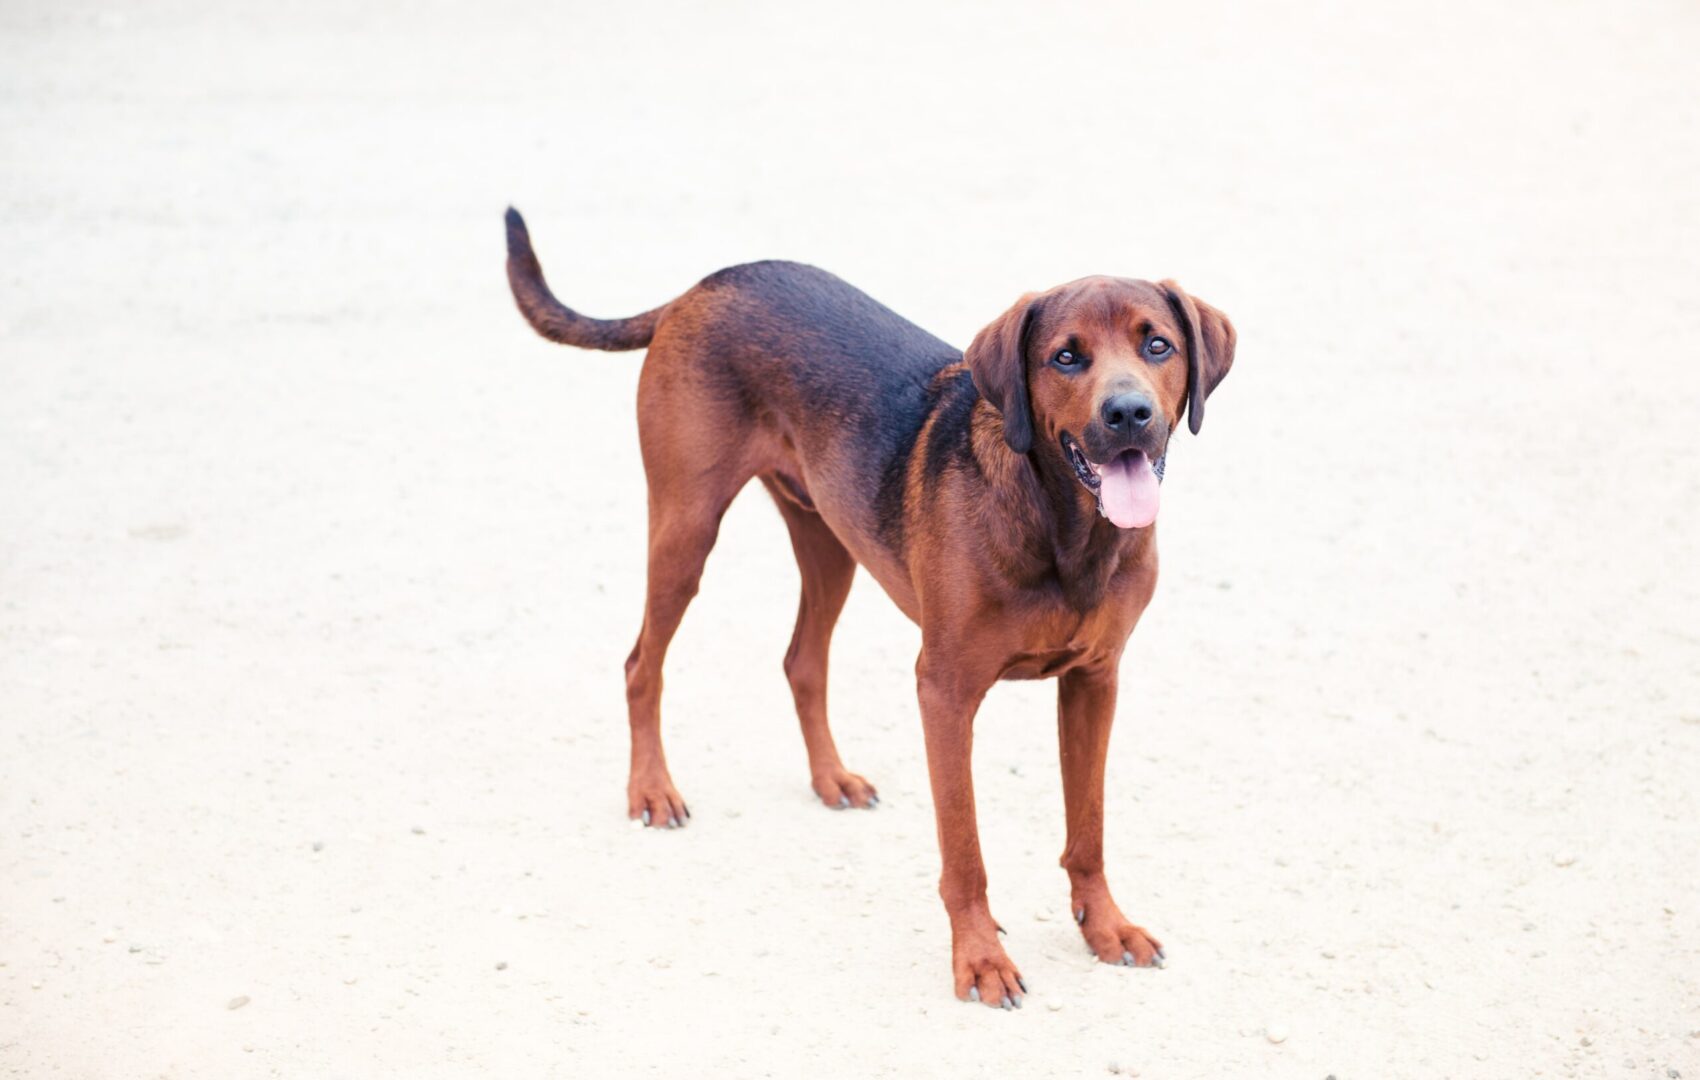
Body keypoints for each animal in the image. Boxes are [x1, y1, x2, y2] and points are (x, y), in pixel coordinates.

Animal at [503, 209, 1237, 1006]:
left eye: (1157, 344)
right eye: (1066, 358)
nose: (1128, 412)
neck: (1064, 525)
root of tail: (703, 286)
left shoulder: (1094, 682)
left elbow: (1089, 829)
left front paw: (1105, 927)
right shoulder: (945, 692)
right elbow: (964, 849)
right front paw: (980, 958)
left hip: (829, 544)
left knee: (801, 661)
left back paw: (832, 778)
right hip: (686, 529)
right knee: (643, 662)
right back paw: (652, 791)